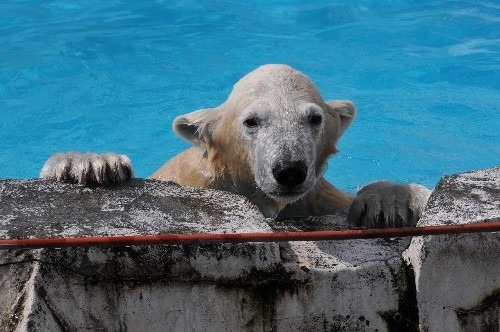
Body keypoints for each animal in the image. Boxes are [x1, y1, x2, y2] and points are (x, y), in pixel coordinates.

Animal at [40, 63, 430, 227]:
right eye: (251, 121)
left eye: (314, 118)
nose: (289, 170)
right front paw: (88, 165)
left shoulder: (317, 200)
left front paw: (388, 201)